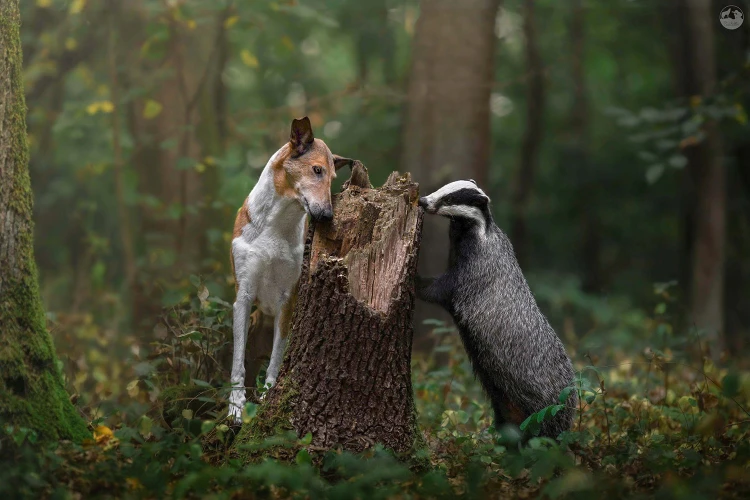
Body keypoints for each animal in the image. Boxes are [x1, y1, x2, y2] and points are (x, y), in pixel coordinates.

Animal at [226, 118, 352, 426]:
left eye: (333, 178)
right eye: (316, 170)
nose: (327, 216)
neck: (276, 225)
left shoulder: (287, 299)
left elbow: (276, 357)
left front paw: (268, 395)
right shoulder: (243, 295)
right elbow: (237, 361)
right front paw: (235, 406)